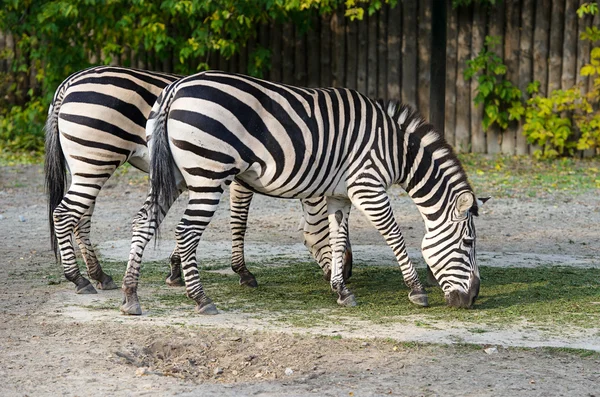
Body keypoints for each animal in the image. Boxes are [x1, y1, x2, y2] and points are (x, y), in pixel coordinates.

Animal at [44, 66, 352, 296]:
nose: (348, 274)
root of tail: (68, 84)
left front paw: (174, 268)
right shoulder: (238, 177)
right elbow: (239, 223)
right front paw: (242, 272)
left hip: (85, 163)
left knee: (81, 217)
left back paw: (98, 275)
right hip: (97, 159)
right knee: (67, 214)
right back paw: (79, 279)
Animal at [123, 69, 488, 314]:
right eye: (468, 242)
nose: (472, 299)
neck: (395, 149)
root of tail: (175, 88)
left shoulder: (341, 195)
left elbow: (338, 239)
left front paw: (341, 290)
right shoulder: (367, 186)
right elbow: (394, 236)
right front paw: (416, 290)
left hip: (173, 176)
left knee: (143, 221)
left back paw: (130, 296)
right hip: (208, 174)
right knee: (186, 232)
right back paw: (200, 298)